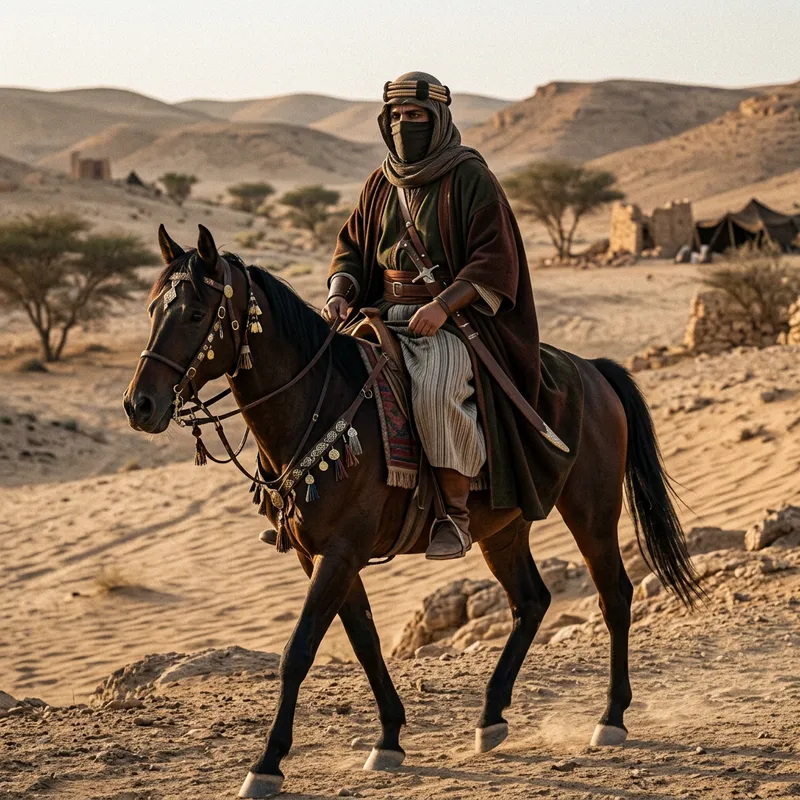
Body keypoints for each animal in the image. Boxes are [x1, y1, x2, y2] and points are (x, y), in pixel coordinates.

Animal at [124, 224, 699, 798]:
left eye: (197, 314)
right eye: (152, 310)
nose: (139, 405)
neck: (317, 405)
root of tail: (593, 371)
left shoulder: (341, 551)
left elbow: (299, 650)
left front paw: (267, 763)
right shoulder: (321, 556)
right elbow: (364, 640)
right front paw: (389, 738)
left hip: (592, 511)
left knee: (614, 596)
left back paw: (611, 717)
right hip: (503, 529)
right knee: (531, 602)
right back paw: (491, 716)